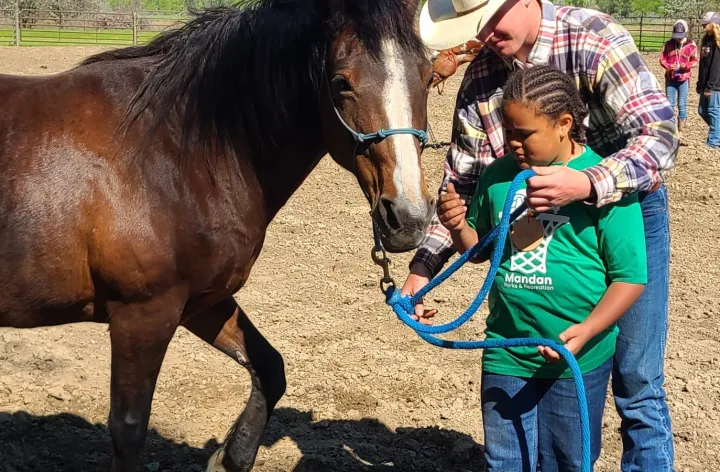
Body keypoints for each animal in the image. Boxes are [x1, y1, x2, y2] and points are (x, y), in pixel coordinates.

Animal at [0, 0, 436, 470]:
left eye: (429, 75)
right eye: (341, 82)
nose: (409, 216)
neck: (175, 155)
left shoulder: (201, 301)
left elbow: (270, 368)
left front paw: (230, 457)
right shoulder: (143, 314)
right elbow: (128, 429)